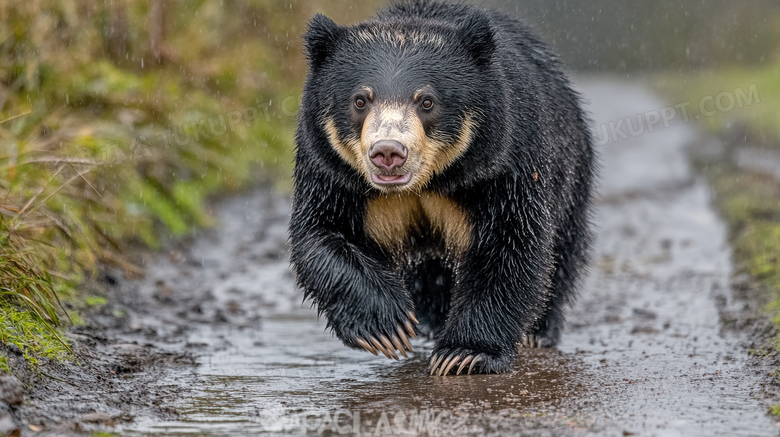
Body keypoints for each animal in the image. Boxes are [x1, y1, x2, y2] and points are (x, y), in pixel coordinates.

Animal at [290, 0, 596, 374]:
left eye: (426, 101)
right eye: (361, 100)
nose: (388, 153)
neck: (424, 183)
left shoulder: (504, 161)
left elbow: (511, 242)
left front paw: (465, 353)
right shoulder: (330, 168)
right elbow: (322, 232)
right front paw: (388, 328)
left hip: (571, 170)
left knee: (564, 250)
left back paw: (537, 331)